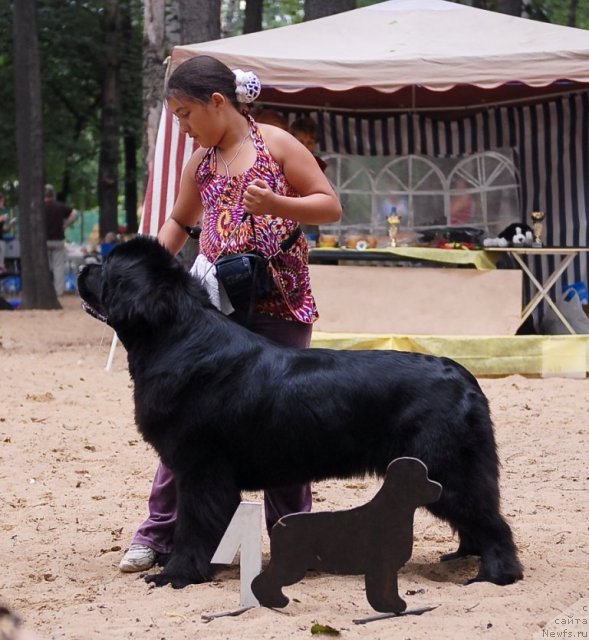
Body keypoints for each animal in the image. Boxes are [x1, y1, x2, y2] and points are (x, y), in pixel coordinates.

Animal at [76, 236, 520, 592]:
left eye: (107, 267)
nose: (83, 268)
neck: (176, 338)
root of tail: (463, 375)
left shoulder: (201, 470)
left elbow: (194, 525)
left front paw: (177, 575)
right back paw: (463, 557)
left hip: (446, 467)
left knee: (492, 522)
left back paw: (495, 575)